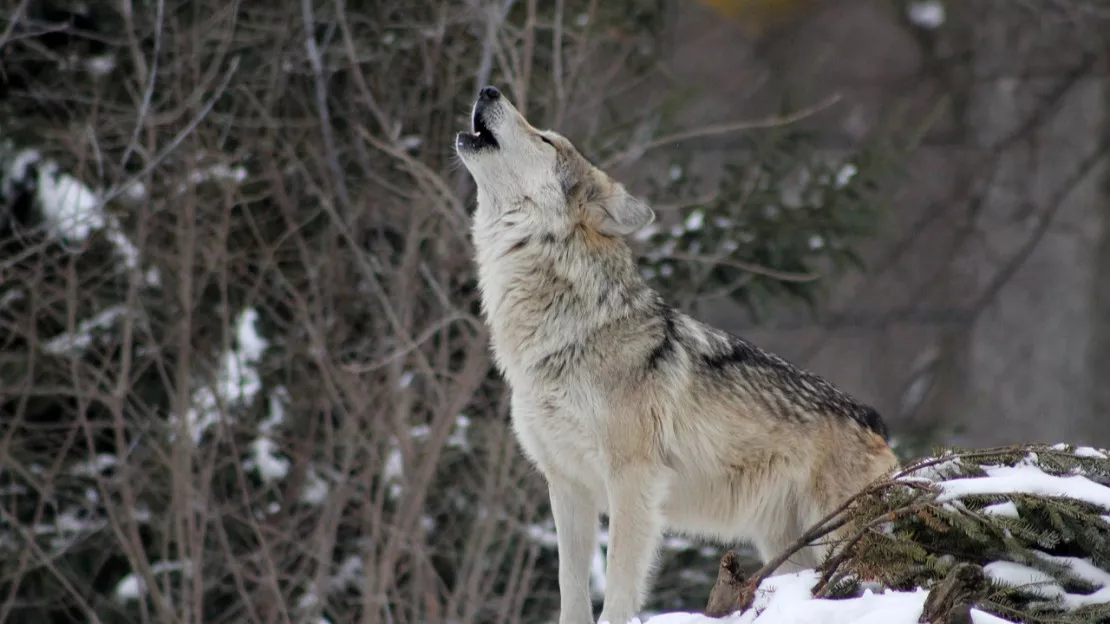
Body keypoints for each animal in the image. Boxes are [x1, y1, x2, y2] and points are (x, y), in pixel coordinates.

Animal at [455, 86, 896, 621]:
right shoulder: (567, 485)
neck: (565, 332)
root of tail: (875, 420)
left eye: (545, 139)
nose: (488, 89)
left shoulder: (633, 481)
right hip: (787, 548)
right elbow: (570, 590)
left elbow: (619, 588)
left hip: (834, 538)